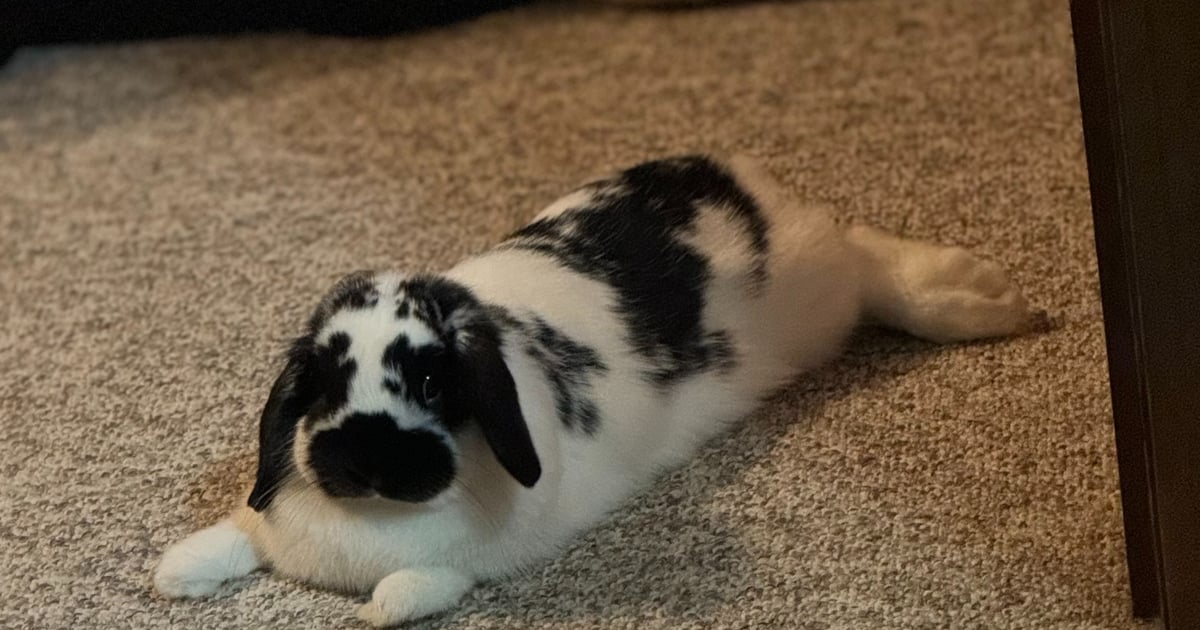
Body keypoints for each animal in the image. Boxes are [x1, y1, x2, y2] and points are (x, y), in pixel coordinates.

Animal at [153, 155, 1030, 627]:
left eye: (435, 379)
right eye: (323, 380)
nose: (366, 459)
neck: (369, 519)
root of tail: (736, 183)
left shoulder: (467, 566)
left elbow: (414, 588)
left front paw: (376, 606)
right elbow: (236, 534)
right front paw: (174, 571)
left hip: (823, 293)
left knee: (869, 257)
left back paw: (984, 299)